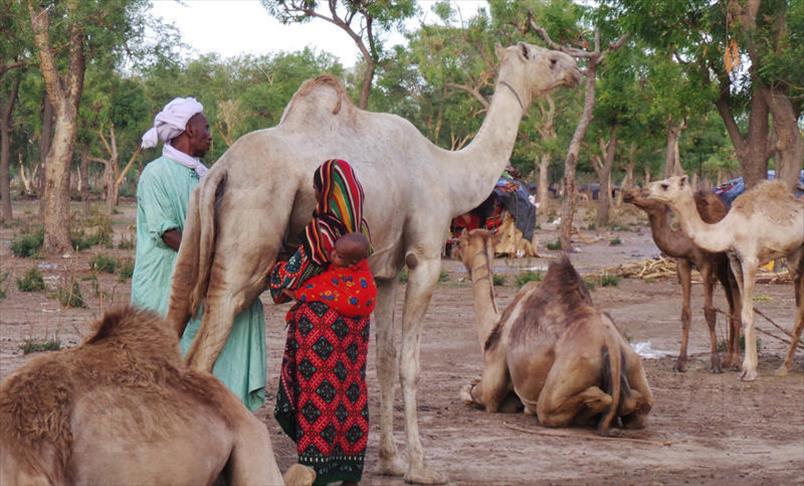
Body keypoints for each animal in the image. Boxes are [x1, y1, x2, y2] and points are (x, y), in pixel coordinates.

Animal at [452, 230, 652, 434]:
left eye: (459, 242)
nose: (452, 250)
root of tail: (611, 345)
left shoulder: (492, 381)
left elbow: (469, 392)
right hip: (634, 365)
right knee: (637, 405)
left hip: (570, 370)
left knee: (568, 404)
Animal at [620, 187, 740, 372]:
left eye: (645, 191)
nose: (626, 195)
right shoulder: (683, 264)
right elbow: (685, 313)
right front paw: (680, 362)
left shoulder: (706, 266)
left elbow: (709, 312)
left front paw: (714, 362)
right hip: (722, 270)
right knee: (732, 303)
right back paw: (729, 359)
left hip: (730, 264)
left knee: (737, 301)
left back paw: (736, 361)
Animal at [648, 175, 804, 380]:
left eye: (665, 185)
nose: (647, 189)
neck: (728, 230)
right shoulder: (734, 260)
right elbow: (744, 310)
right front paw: (749, 366)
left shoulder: (750, 259)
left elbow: (746, 313)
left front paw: (748, 371)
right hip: (795, 255)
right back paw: (784, 367)